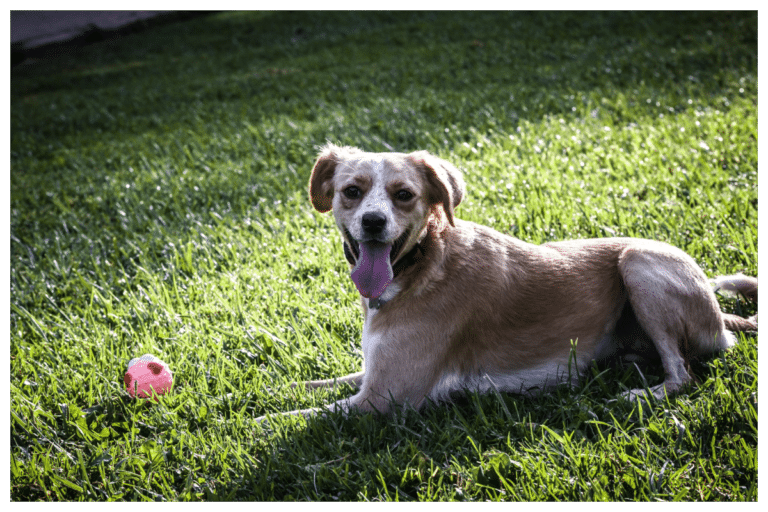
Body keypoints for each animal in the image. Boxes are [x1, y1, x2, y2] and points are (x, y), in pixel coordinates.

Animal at [256, 143, 756, 420]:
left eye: (404, 196)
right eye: (351, 192)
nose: (374, 222)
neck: (422, 264)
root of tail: (719, 314)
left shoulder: (384, 398)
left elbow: (293, 419)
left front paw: (242, 422)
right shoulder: (375, 374)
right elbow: (322, 383)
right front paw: (273, 389)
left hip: (639, 261)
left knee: (683, 374)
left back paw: (640, 394)